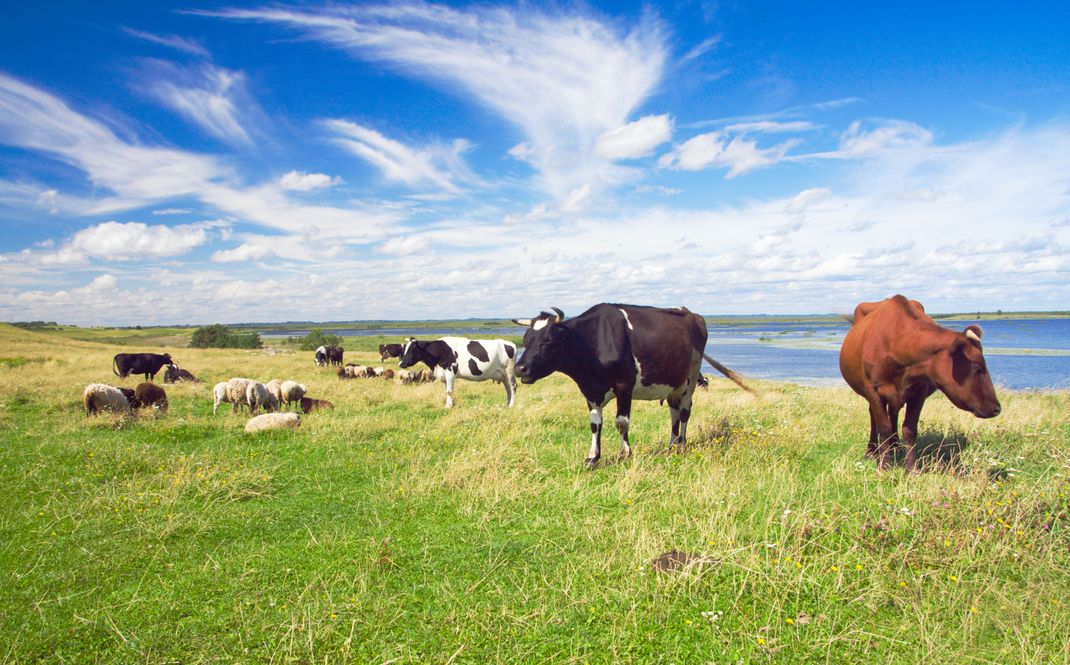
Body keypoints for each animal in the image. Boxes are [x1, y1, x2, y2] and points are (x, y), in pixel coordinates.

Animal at [511, 301, 753, 466]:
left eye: (547, 341)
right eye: (525, 340)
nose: (519, 368)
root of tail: (690, 313)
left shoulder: (623, 385)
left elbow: (621, 422)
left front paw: (625, 453)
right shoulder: (590, 390)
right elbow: (595, 424)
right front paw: (593, 457)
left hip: (692, 376)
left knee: (685, 411)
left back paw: (681, 445)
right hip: (674, 383)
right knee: (674, 411)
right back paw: (671, 444)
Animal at [834, 295, 1001, 471]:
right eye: (978, 367)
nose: (997, 408)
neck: (897, 343)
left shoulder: (919, 391)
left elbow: (910, 429)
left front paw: (912, 468)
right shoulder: (873, 390)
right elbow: (883, 428)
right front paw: (884, 466)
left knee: (893, 413)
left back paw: (895, 447)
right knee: (874, 416)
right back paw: (873, 450)